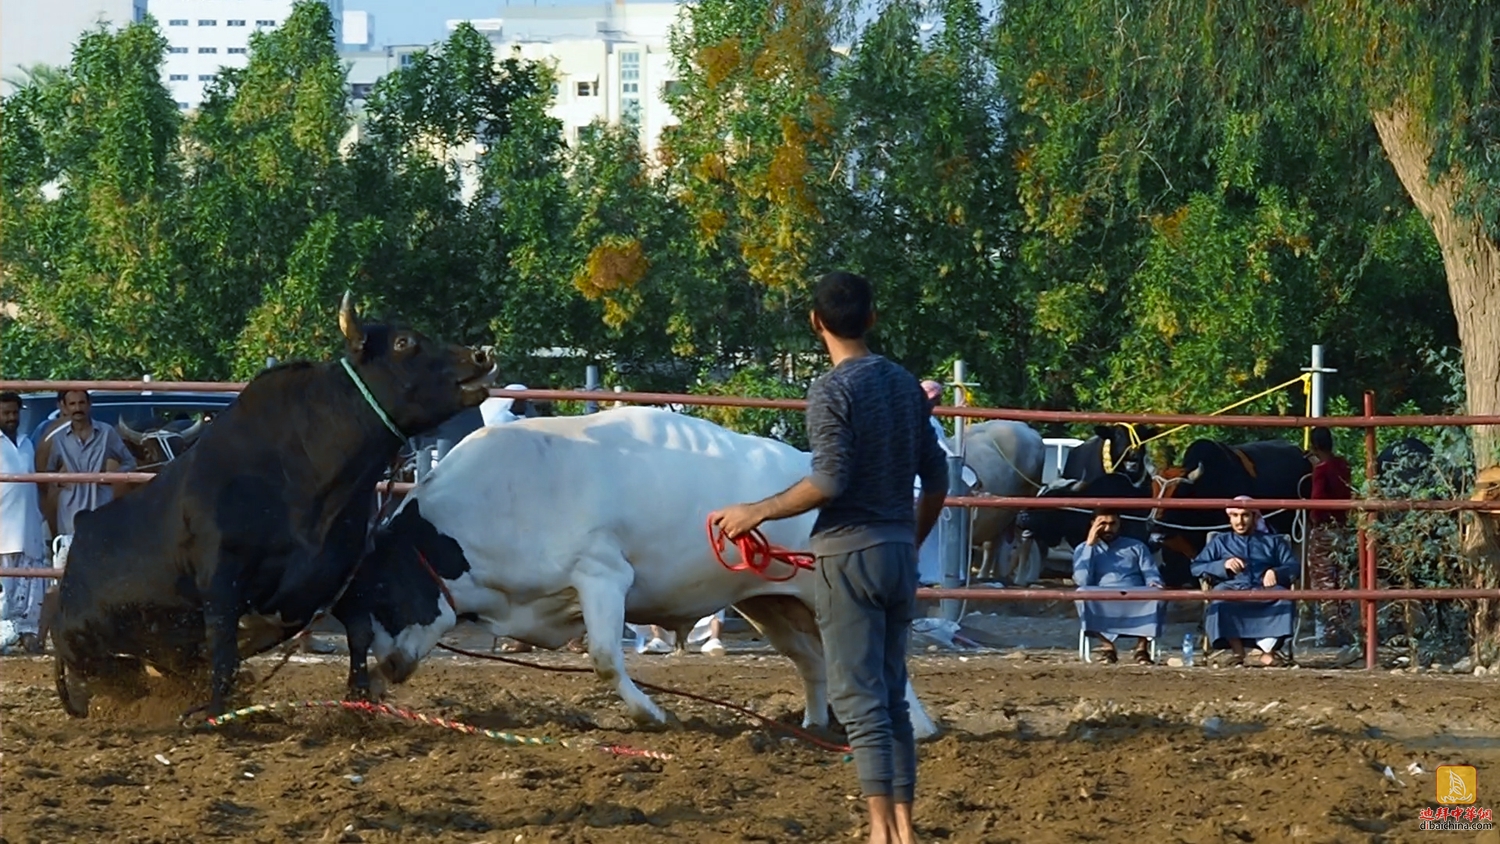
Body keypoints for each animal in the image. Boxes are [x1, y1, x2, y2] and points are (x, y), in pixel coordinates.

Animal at [340, 410, 936, 740]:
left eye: (383, 589)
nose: (387, 666)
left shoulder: (602, 574)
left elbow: (605, 657)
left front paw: (653, 715)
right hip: (767, 601)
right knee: (812, 660)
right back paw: (812, 724)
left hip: (822, 592)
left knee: (879, 660)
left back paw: (922, 728)